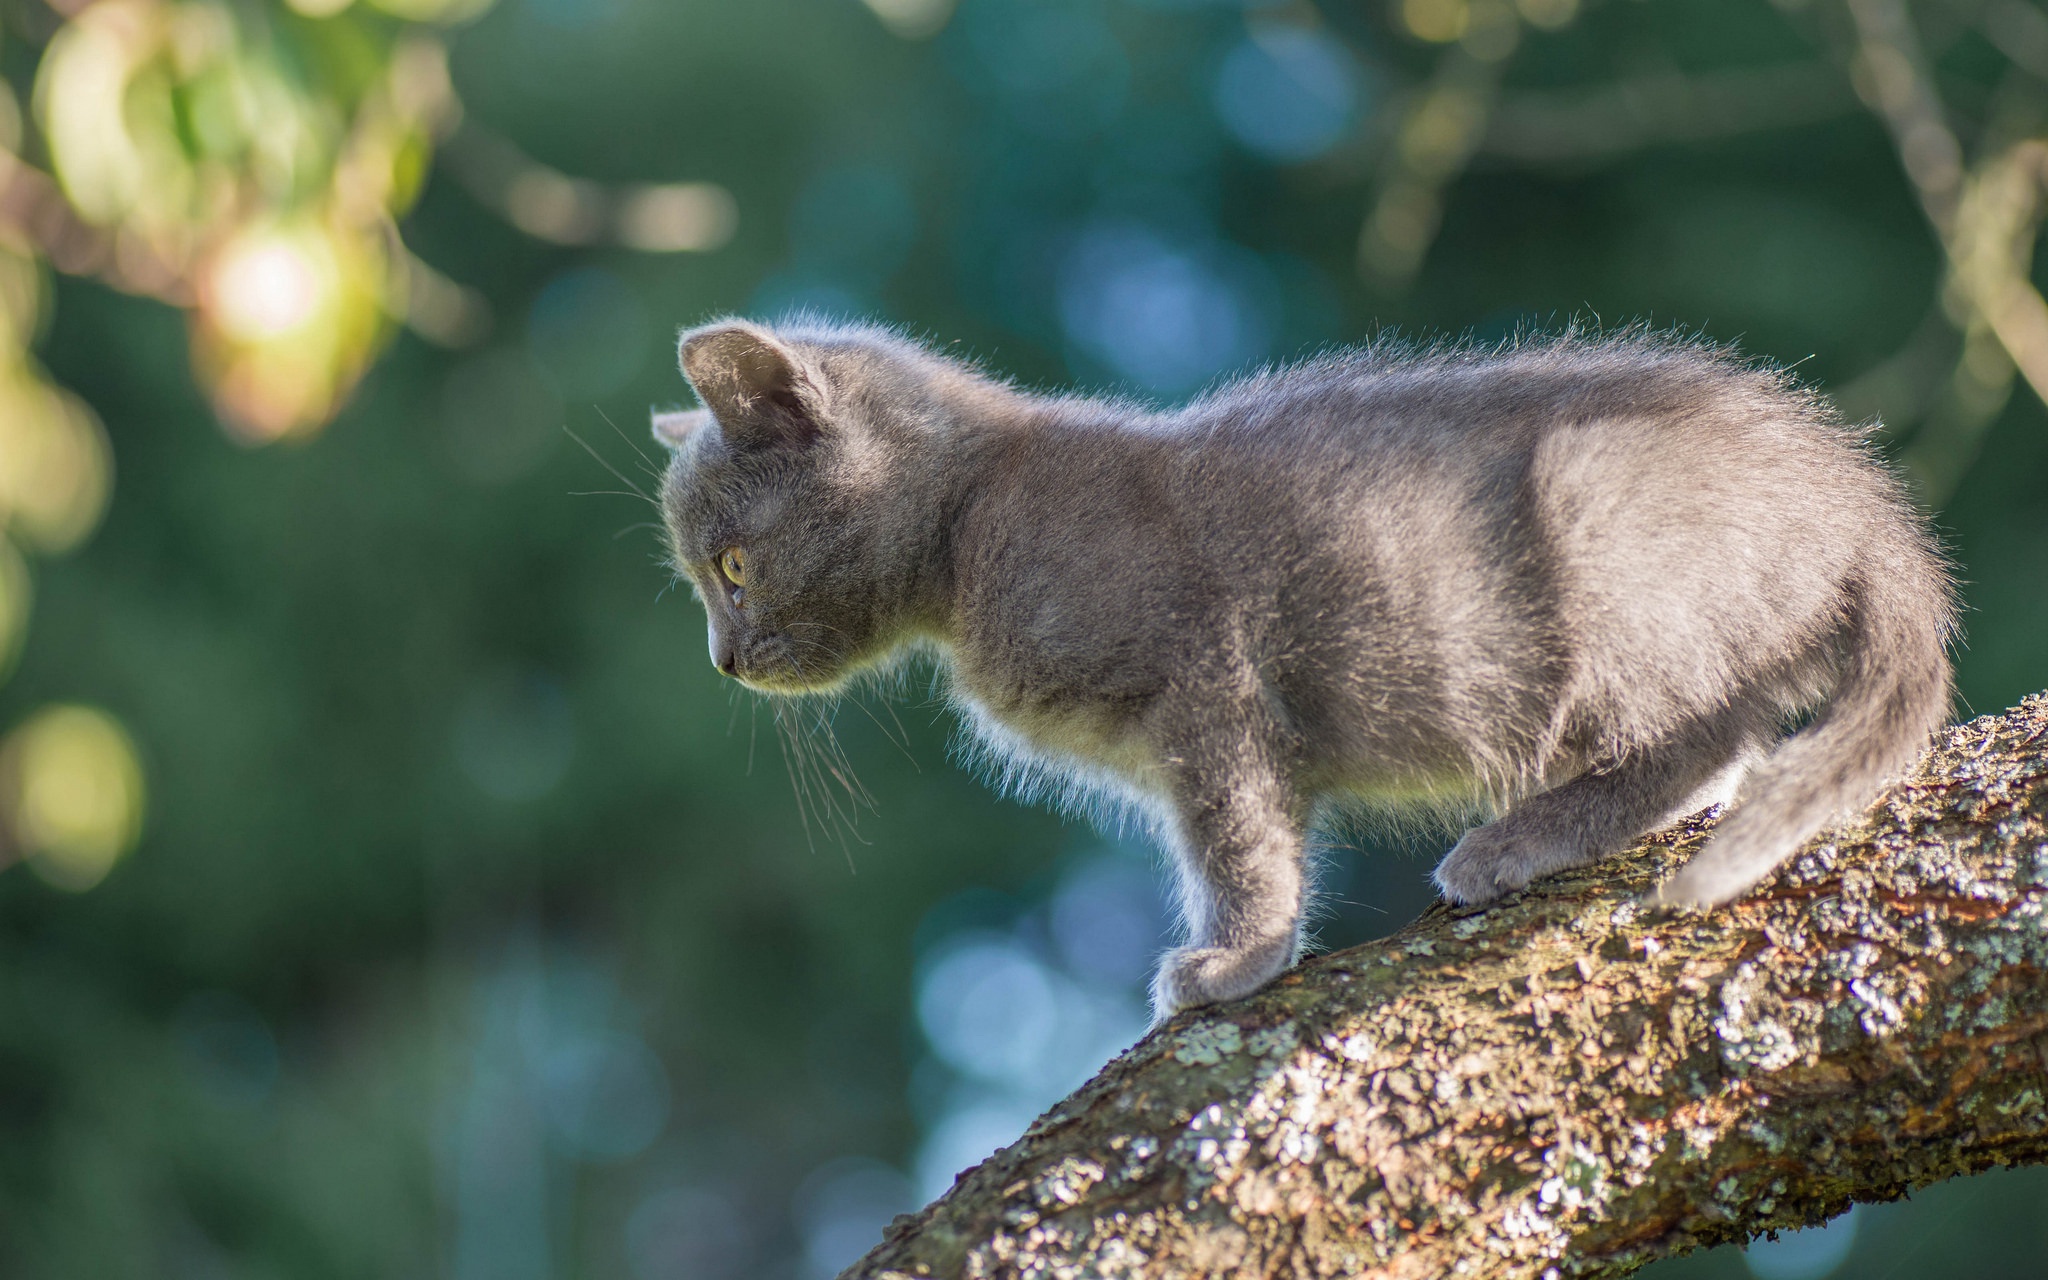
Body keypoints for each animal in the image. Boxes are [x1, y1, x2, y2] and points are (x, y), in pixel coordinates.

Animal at [651, 317, 1949, 1019]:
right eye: (701, 578)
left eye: (731, 564)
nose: (720, 660)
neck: (972, 521)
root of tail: (1857, 499)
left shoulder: (1204, 674)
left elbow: (1235, 835)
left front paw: (1236, 956)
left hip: (1593, 530)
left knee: (1704, 738)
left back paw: (1512, 840)